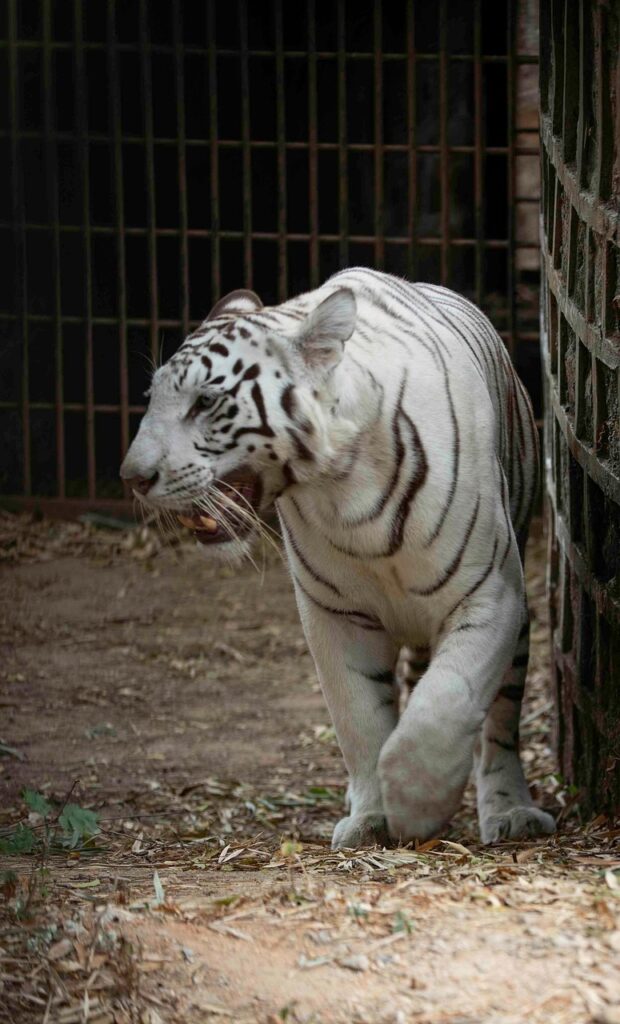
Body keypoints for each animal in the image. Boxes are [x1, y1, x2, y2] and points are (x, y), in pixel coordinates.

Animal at [120, 267, 555, 849]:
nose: (132, 477)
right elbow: (360, 718)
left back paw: (511, 813)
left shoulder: (489, 592)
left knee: (500, 727)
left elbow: (444, 702)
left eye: (206, 402)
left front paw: (415, 805)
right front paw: (371, 819)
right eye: (151, 398)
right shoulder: (334, 613)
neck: (342, 489)